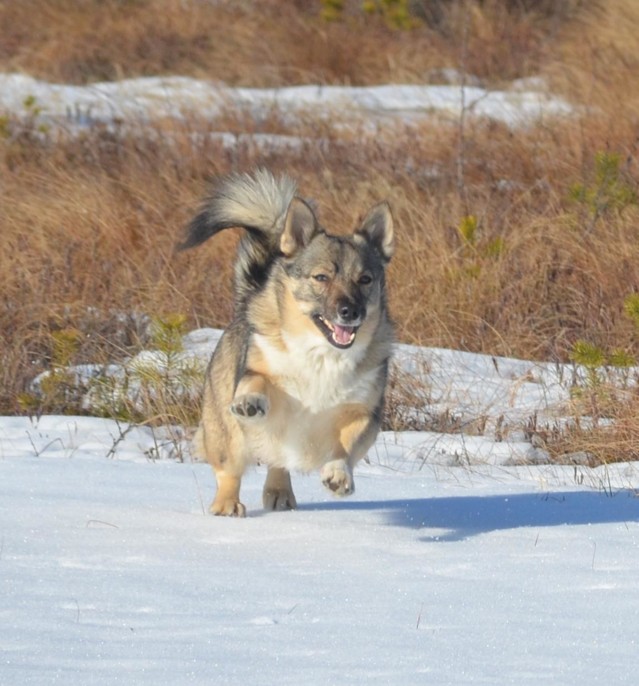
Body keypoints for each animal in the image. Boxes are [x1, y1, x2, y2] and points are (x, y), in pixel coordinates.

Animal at [178, 169, 392, 520]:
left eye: (365, 279)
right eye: (321, 278)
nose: (350, 312)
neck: (323, 356)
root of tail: (245, 301)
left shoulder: (364, 411)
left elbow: (347, 444)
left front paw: (338, 475)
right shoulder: (259, 370)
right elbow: (256, 381)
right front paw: (250, 402)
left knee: (278, 461)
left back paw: (280, 493)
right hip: (226, 433)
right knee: (229, 468)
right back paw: (227, 505)